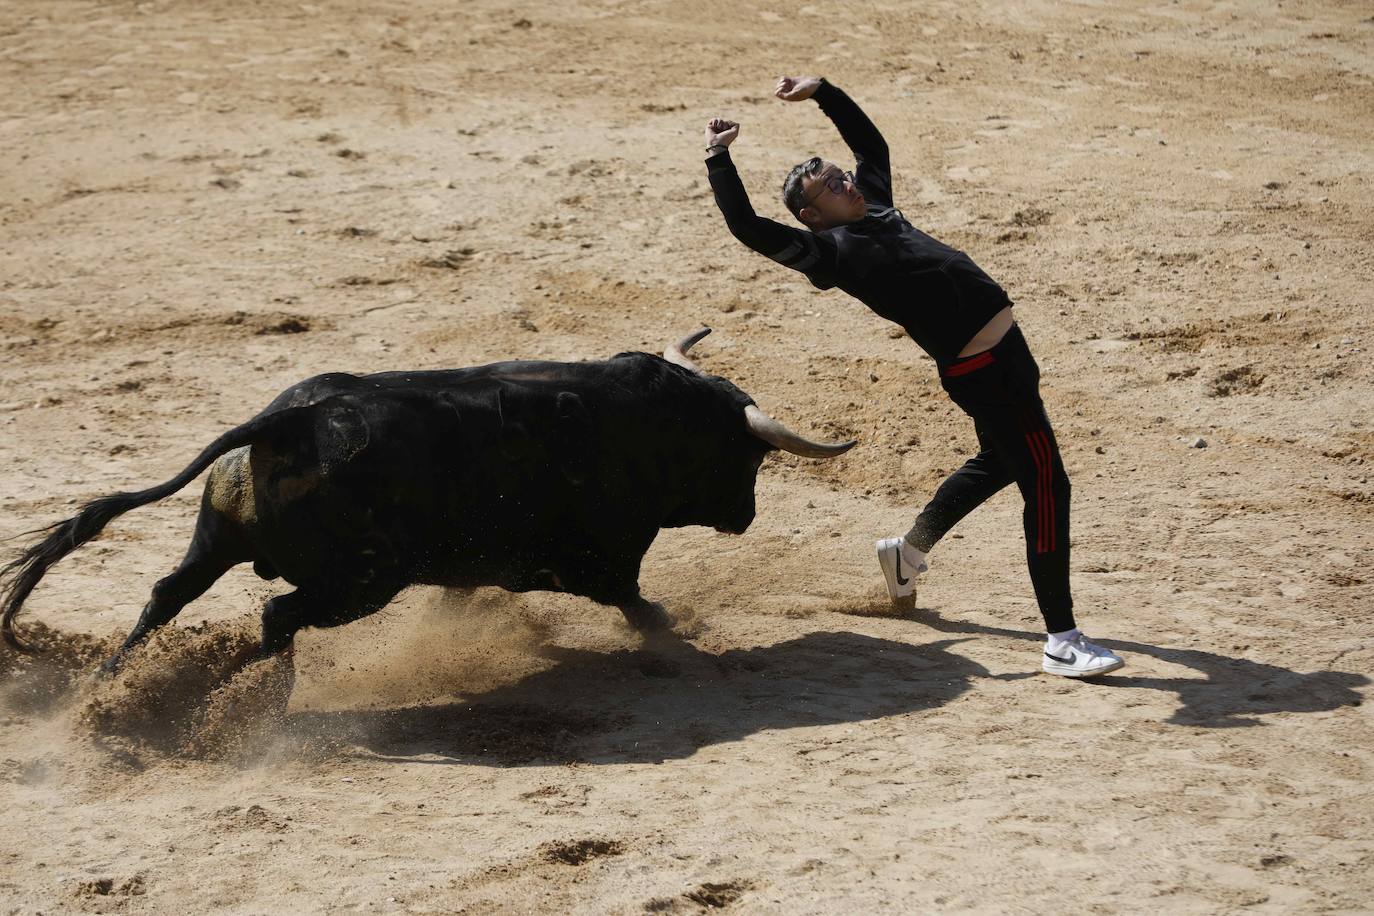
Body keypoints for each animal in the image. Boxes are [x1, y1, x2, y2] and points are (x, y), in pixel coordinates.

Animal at [2, 329, 846, 667]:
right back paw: (260, 696)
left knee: (166, 594)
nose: (747, 516)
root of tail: (291, 418)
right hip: (360, 582)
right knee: (277, 615)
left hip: (220, 539)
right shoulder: (600, 561)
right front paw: (680, 633)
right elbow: (639, 605)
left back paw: (111, 683)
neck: (643, 419)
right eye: (749, 457)